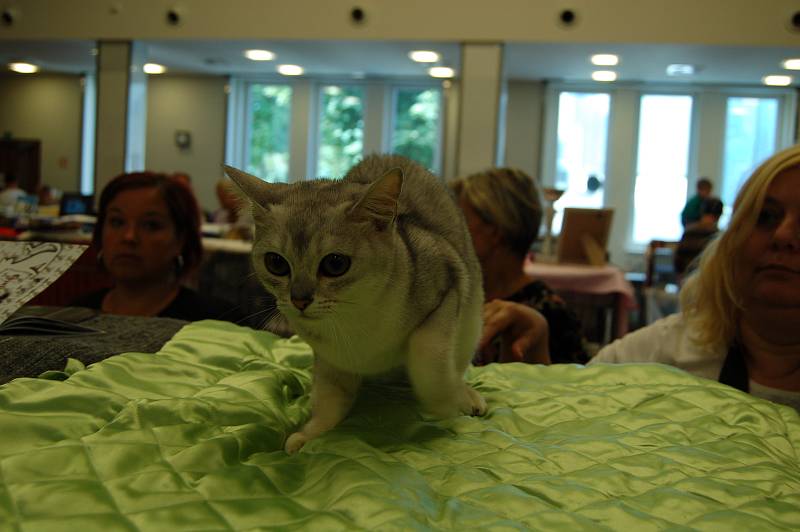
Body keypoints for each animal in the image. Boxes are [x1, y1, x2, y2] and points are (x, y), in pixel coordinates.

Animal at [225, 154, 488, 454]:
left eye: (335, 264)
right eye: (276, 263)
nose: (299, 299)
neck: (353, 316)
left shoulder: (449, 282)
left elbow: (429, 355)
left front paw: (444, 401)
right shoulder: (331, 359)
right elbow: (329, 400)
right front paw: (309, 434)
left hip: (471, 322)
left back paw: (466, 395)